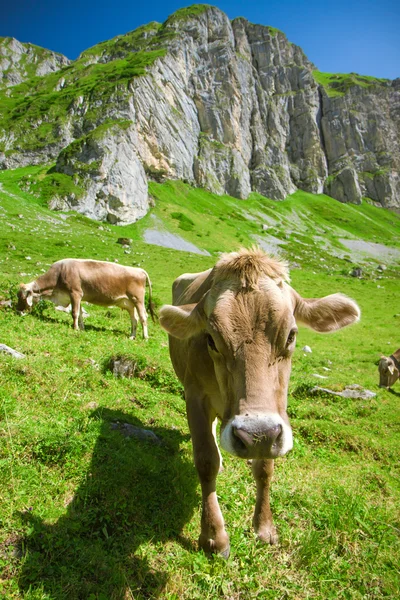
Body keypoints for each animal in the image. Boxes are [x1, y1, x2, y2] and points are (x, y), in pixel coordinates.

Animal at [17, 258, 155, 340]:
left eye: (22, 297)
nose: (18, 311)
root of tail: (139, 270)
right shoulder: (78, 297)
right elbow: (80, 314)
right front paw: (82, 328)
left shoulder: (75, 293)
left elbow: (74, 312)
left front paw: (75, 328)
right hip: (129, 303)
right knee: (134, 319)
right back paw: (132, 336)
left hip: (138, 299)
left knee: (143, 317)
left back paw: (145, 337)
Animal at [159, 246, 360, 556]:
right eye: (211, 339)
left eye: (291, 335)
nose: (255, 434)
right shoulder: (194, 396)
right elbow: (205, 460)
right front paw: (213, 537)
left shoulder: (273, 422)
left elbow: (265, 467)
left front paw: (264, 527)